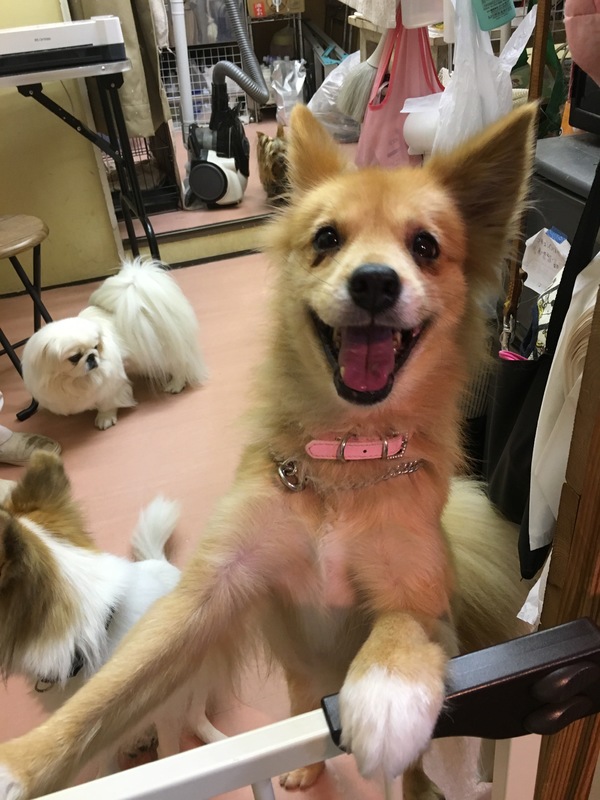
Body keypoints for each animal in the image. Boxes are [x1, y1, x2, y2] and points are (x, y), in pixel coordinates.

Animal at [0, 451, 223, 778]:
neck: (91, 636)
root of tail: (164, 563)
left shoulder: (167, 709)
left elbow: (170, 751)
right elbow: (104, 760)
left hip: (205, 668)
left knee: (196, 716)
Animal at [21, 257, 207, 429]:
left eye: (95, 347)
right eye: (74, 357)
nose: (92, 357)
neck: (76, 381)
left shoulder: (111, 386)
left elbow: (107, 404)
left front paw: (105, 419)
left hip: (164, 349)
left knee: (180, 364)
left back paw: (175, 384)